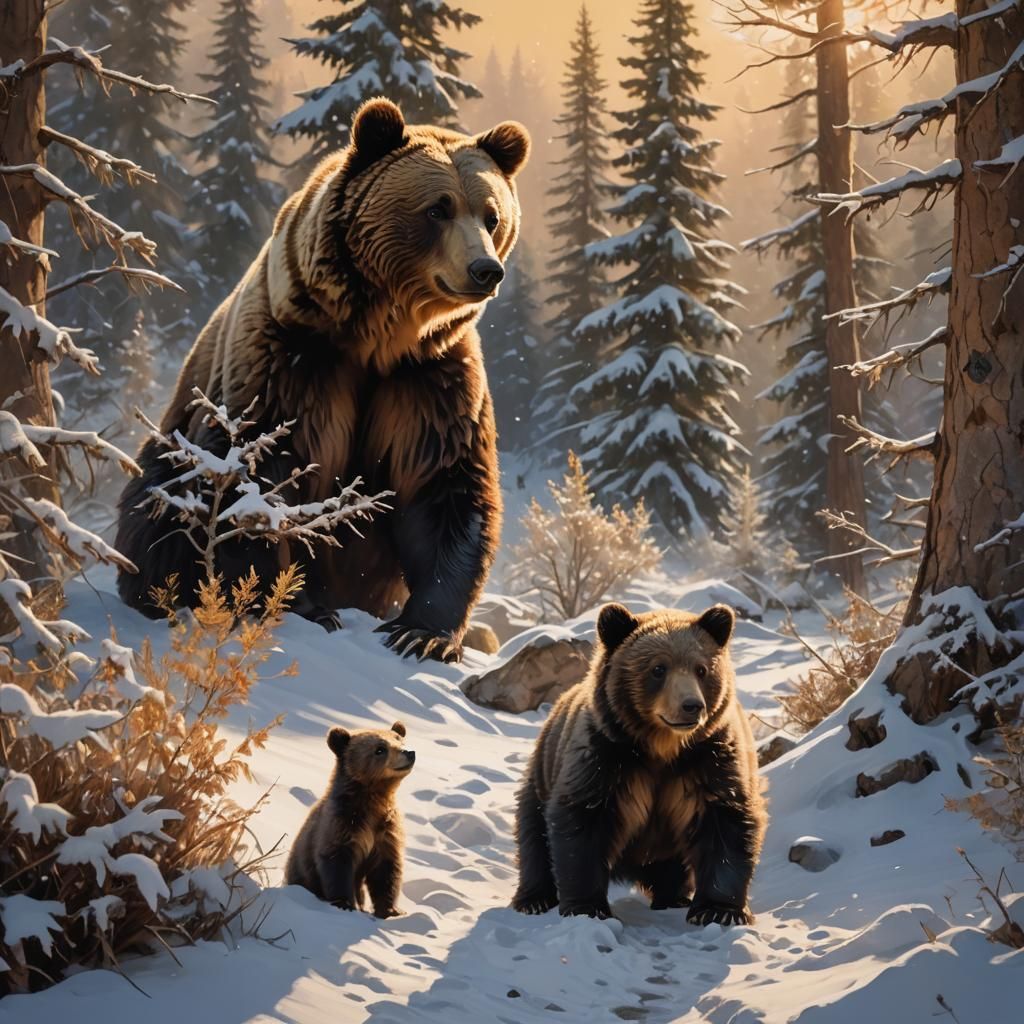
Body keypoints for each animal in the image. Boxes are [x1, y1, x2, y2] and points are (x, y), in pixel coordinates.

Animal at [114, 97, 530, 662]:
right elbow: (260, 476)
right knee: (155, 509)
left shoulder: (428, 378)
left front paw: (421, 632)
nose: (485, 269)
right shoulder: (292, 358)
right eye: (437, 209)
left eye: (492, 216)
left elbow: (445, 482)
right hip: (169, 454)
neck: (377, 334)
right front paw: (300, 605)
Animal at [285, 720, 414, 918]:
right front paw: (344, 903)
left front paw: (390, 910)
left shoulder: (385, 830)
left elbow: (386, 870)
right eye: (380, 749)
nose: (409, 753)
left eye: (399, 739)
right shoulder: (342, 825)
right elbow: (337, 865)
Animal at [511, 602, 765, 926]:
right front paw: (587, 907)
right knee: (533, 835)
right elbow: (580, 823)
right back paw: (534, 899)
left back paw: (673, 897)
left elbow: (726, 822)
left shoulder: (710, 760)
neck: (662, 749)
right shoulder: (605, 758)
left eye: (702, 669)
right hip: (543, 771)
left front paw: (718, 911)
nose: (691, 706)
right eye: (658, 668)